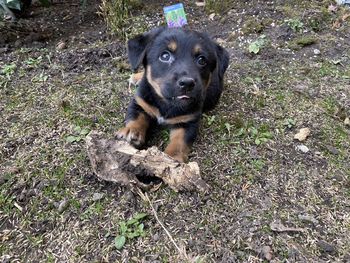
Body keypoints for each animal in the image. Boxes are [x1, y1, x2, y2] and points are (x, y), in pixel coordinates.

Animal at [117, 26, 230, 163]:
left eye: (202, 60)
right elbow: (135, 118)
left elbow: (179, 142)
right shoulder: (140, 103)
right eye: (165, 56)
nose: (187, 83)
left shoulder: (188, 121)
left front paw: (172, 159)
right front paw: (131, 131)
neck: (167, 104)